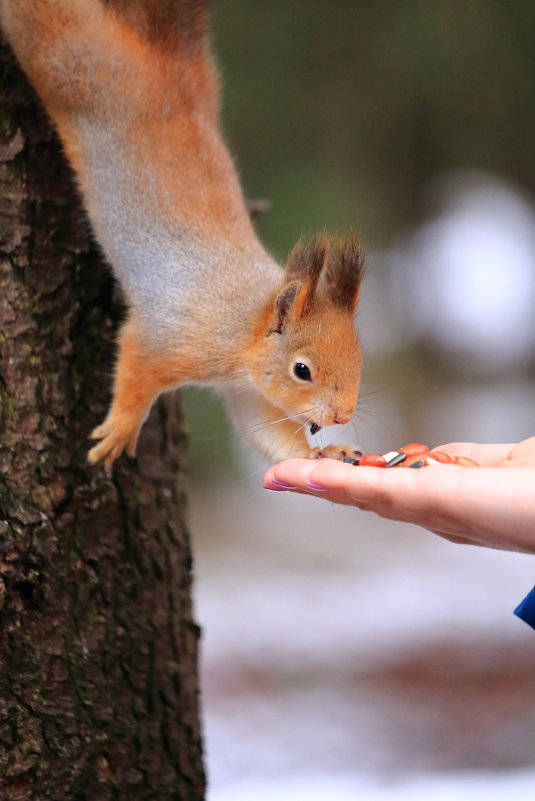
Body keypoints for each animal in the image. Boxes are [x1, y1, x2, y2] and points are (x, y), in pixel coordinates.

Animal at [0, 0, 366, 466]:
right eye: (302, 370)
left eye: (359, 355)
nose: (342, 416)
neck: (242, 327)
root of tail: (163, 63)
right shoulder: (170, 338)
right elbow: (136, 367)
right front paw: (121, 429)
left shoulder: (246, 390)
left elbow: (270, 436)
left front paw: (324, 453)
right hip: (68, 57)